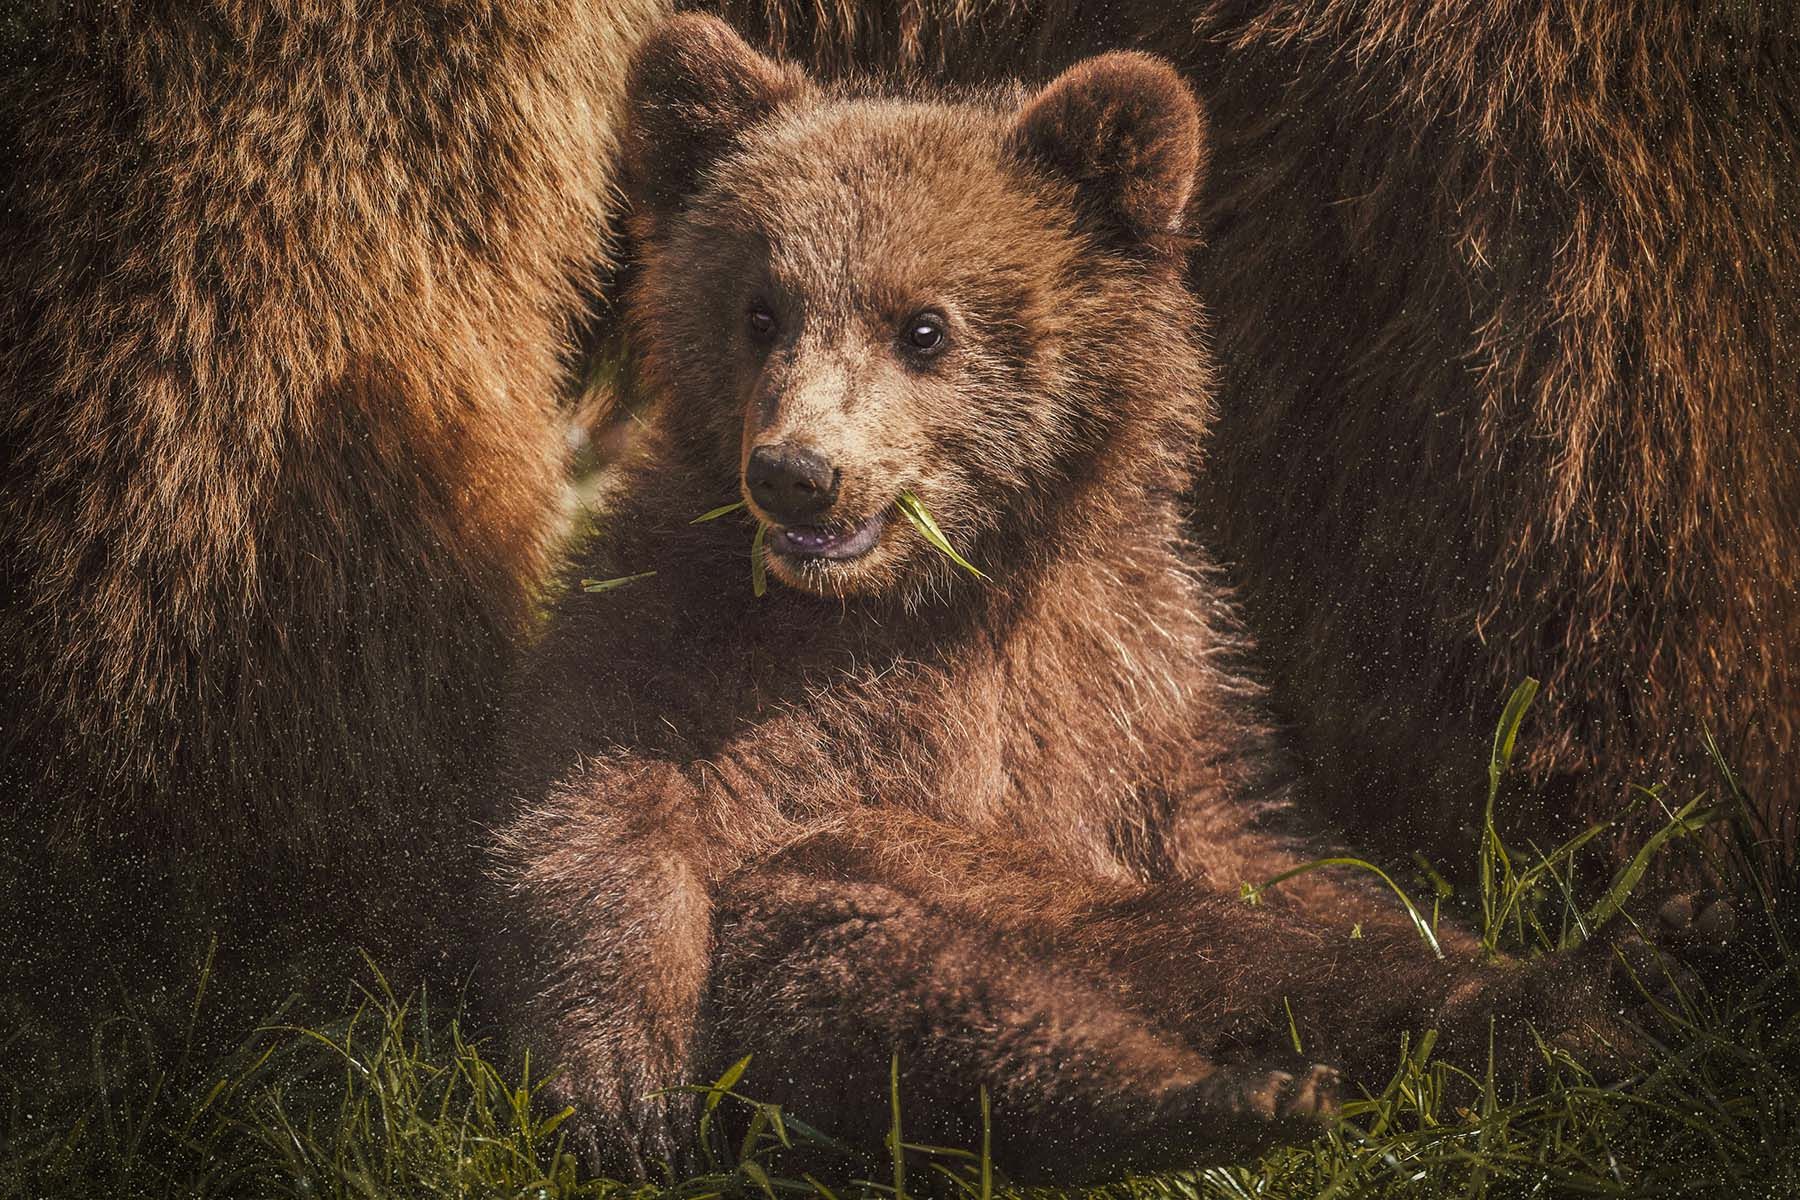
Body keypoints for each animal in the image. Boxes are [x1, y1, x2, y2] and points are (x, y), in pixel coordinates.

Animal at [485, 16, 1647, 1180]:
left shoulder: (1138, 674)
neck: (931, 594)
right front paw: (623, 1078)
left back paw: (1589, 983)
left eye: (924, 327)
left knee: (1255, 952)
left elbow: (1272, 850)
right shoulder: (677, 625)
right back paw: (1222, 1091)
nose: (796, 472)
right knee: (896, 965)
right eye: (759, 310)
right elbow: (589, 800)